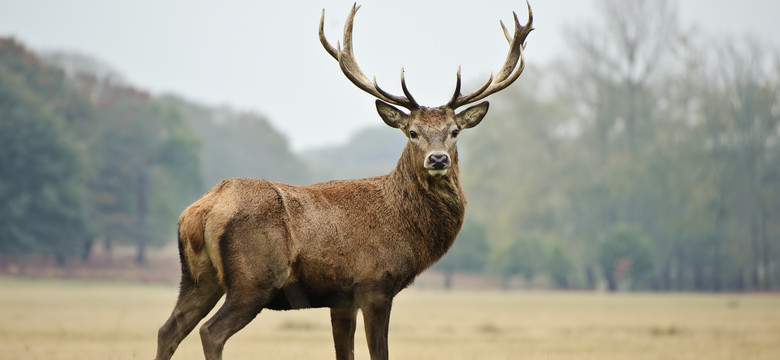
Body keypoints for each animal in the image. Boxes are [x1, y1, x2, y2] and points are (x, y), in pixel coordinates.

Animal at [154, 3, 532, 360]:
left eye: (454, 131)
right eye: (412, 132)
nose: (437, 159)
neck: (405, 226)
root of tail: (201, 210)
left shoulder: (341, 298)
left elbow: (344, 352)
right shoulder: (374, 284)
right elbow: (379, 353)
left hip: (198, 277)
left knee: (168, 330)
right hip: (254, 279)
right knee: (210, 332)